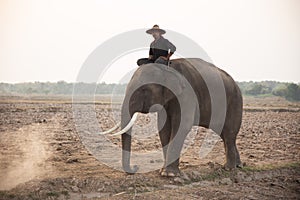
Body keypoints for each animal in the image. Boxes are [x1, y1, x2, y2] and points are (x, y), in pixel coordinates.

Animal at [102, 57, 243, 177]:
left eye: (144, 90)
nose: (136, 167)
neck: (167, 68)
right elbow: (163, 128)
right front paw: (163, 172)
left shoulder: (187, 94)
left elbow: (182, 125)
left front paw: (169, 174)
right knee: (225, 135)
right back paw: (238, 166)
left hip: (234, 101)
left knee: (229, 133)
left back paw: (229, 169)